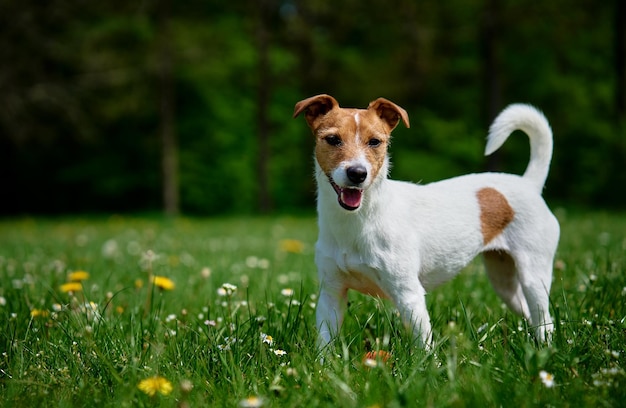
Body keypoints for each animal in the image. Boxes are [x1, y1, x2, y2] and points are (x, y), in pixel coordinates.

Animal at [294, 94, 560, 350]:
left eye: (375, 142)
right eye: (332, 139)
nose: (357, 173)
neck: (356, 222)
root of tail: (529, 184)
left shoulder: (409, 295)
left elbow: (423, 346)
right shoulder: (331, 293)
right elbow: (325, 343)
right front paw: (323, 363)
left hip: (533, 276)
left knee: (544, 318)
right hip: (504, 281)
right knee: (531, 315)